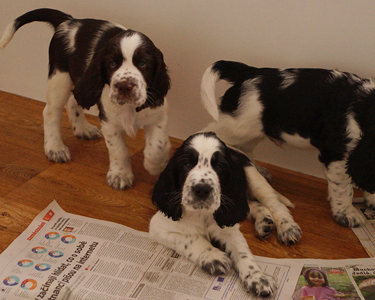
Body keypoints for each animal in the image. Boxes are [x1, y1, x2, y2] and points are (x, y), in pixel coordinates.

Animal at [0, 8, 171, 190]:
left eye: (143, 63)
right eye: (112, 64)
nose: (124, 86)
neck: (130, 107)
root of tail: (69, 21)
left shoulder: (157, 117)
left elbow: (158, 145)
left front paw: (155, 165)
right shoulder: (109, 122)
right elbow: (119, 150)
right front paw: (120, 175)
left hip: (80, 83)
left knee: (73, 102)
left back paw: (83, 129)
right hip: (60, 78)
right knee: (51, 112)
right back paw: (55, 148)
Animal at [150, 133, 302, 298]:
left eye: (219, 166)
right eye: (187, 164)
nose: (202, 189)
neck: (203, 212)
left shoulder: (230, 229)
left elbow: (243, 253)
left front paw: (258, 278)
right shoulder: (159, 227)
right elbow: (191, 239)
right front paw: (213, 257)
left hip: (254, 181)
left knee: (274, 204)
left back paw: (288, 228)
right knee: (255, 205)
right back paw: (265, 222)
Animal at [203, 59, 375, 227]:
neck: (364, 106)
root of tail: (250, 72)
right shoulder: (338, 154)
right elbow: (343, 189)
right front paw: (346, 214)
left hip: (252, 130)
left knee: (244, 149)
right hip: (237, 126)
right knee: (211, 134)